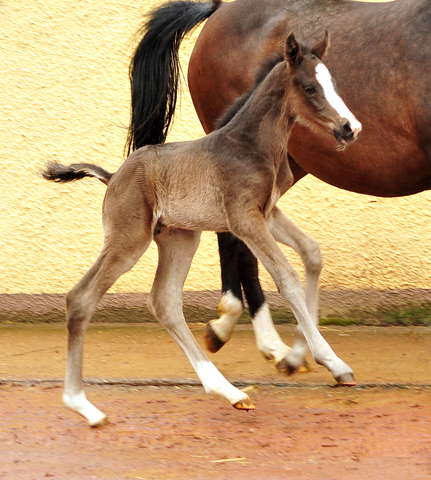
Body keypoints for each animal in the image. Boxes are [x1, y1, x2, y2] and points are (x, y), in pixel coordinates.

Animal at [43, 31, 362, 426]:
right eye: (309, 87)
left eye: (333, 83)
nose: (350, 128)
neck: (251, 145)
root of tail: (113, 176)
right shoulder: (244, 217)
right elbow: (286, 277)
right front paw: (331, 360)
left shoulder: (267, 213)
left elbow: (312, 253)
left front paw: (311, 357)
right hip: (128, 239)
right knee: (81, 298)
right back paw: (83, 405)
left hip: (180, 238)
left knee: (164, 301)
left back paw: (230, 392)